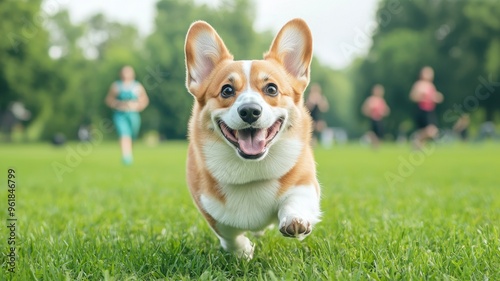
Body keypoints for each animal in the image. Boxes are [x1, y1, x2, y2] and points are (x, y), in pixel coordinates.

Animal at [184, 18, 320, 258]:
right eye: (227, 90)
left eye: (272, 89)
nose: (249, 111)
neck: (251, 171)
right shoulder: (208, 207)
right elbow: (228, 233)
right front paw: (243, 252)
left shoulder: (305, 182)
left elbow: (296, 200)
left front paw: (295, 220)